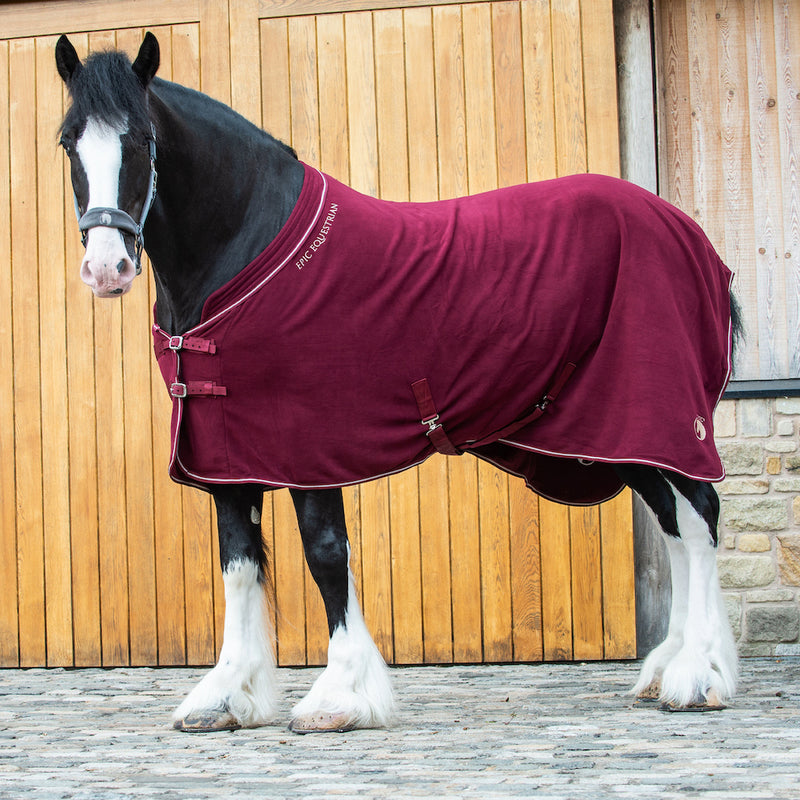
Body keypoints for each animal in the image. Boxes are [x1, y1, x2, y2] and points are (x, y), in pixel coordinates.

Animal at [56, 32, 740, 733]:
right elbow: (239, 562)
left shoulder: (307, 446)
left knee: (700, 518)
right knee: (676, 524)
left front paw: (340, 696)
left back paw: (697, 675)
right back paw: (667, 669)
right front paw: (226, 694)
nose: (106, 268)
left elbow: (326, 554)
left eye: (142, 139)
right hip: (615, 434)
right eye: (68, 140)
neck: (244, 249)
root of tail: (685, 232)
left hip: (658, 421)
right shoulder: (226, 456)